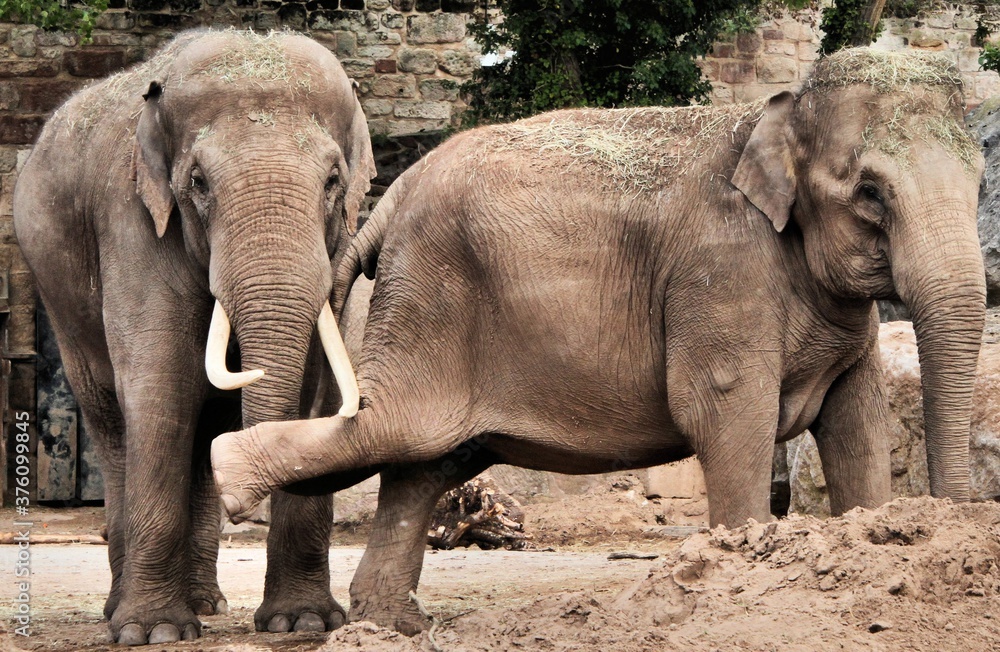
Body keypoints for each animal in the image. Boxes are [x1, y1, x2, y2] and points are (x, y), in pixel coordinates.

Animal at [13, 29, 375, 644]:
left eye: (332, 182)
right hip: (57, 294)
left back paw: (207, 603)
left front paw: (302, 622)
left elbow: (321, 388)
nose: (243, 509)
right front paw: (152, 633)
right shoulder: (133, 222)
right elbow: (159, 387)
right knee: (112, 422)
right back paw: (121, 610)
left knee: (209, 425)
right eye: (199, 184)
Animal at [212, 48, 986, 633]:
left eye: (982, 181)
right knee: (398, 427)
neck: (774, 113)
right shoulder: (721, 271)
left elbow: (858, 426)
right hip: (430, 298)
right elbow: (728, 412)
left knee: (423, 460)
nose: (954, 522)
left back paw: (391, 625)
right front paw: (739, 574)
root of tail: (392, 197)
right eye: (870, 194)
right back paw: (229, 473)